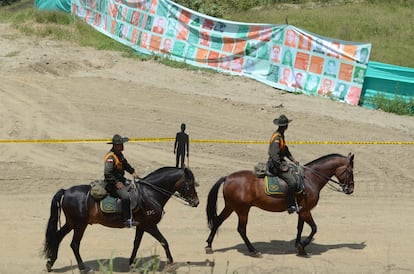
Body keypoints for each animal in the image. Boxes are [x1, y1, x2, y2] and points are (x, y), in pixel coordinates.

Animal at [42, 166, 198, 272]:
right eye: (190, 184)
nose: (196, 202)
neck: (150, 194)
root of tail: (66, 191)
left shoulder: (141, 226)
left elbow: (136, 244)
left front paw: (132, 263)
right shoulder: (150, 226)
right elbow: (164, 241)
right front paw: (170, 263)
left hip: (72, 223)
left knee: (58, 238)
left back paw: (51, 263)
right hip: (80, 225)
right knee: (74, 244)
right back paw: (81, 267)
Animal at [205, 153, 354, 256]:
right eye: (350, 171)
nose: (351, 190)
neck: (310, 179)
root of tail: (227, 177)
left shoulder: (302, 210)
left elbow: (300, 228)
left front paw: (299, 246)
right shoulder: (306, 210)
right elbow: (314, 228)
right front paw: (302, 246)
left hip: (231, 207)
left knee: (217, 221)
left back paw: (209, 246)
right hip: (242, 210)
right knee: (241, 229)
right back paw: (253, 250)